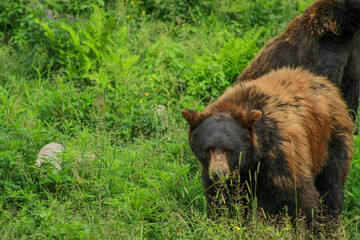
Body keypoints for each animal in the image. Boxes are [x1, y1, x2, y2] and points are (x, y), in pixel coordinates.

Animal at [183, 67, 354, 223]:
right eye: (207, 149)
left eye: (230, 149)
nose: (219, 173)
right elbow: (223, 198)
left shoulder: (281, 152)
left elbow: (296, 195)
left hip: (331, 139)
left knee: (330, 184)